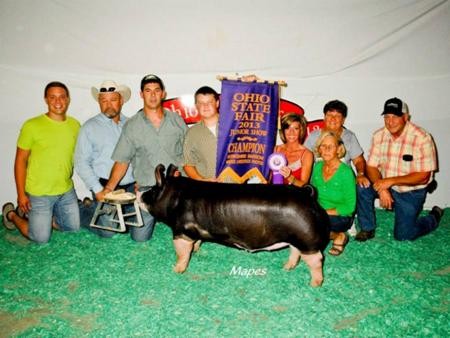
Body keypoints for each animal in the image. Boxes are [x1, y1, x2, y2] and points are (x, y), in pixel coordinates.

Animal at [142, 165, 328, 286]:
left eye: (152, 191)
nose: (140, 194)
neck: (175, 199)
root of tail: (307, 194)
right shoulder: (195, 232)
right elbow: (196, 243)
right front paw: (195, 251)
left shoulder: (181, 232)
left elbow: (181, 254)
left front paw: (176, 270)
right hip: (296, 238)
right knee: (295, 252)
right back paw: (286, 267)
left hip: (307, 239)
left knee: (317, 260)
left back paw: (314, 284)